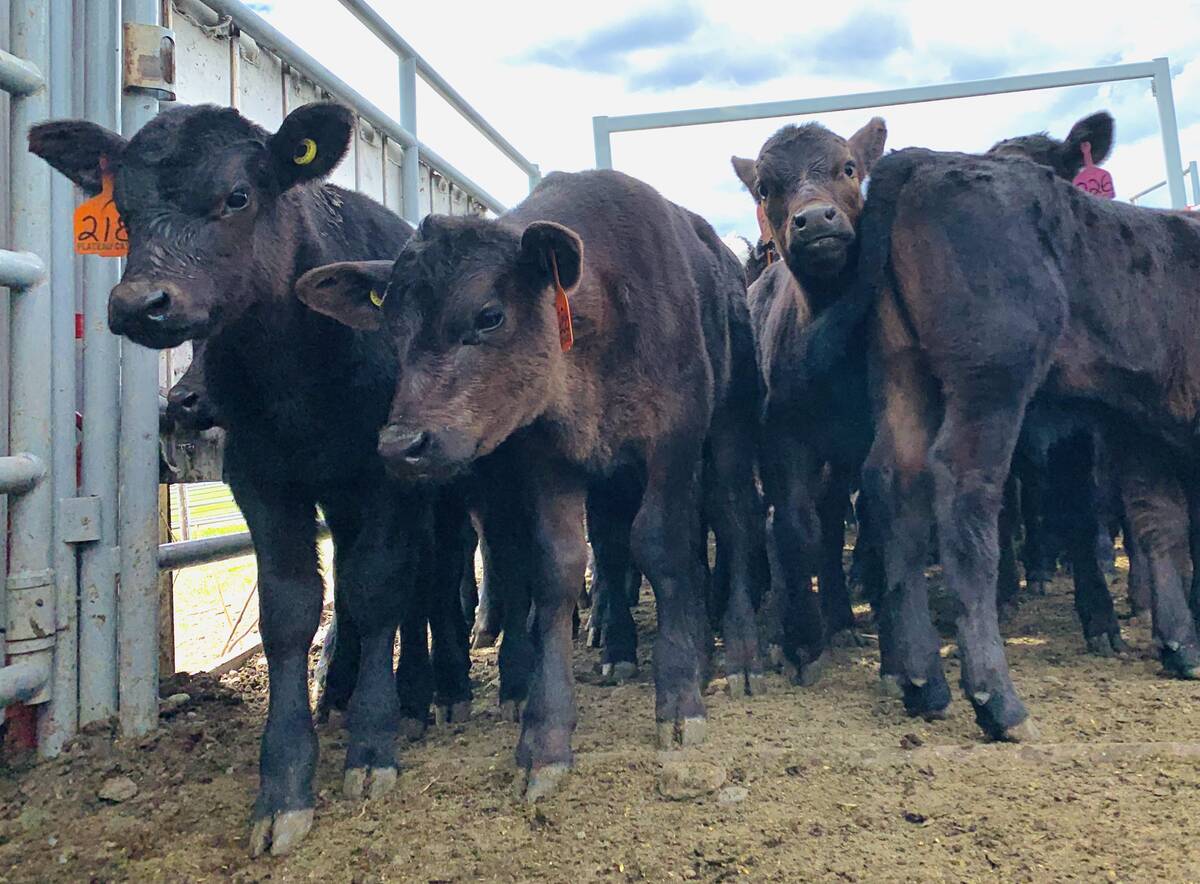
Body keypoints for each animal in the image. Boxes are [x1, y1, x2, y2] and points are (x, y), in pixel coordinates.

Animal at [30, 102, 471, 856]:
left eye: (237, 195)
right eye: (124, 208)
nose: (139, 303)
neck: (295, 372)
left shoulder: (385, 474)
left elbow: (379, 588)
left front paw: (373, 745)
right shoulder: (261, 479)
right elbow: (291, 608)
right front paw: (285, 781)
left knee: (426, 580)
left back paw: (421, 693)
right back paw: (340, 691)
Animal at [296, 168, 768, 799]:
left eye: (489, 315)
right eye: (392, 328)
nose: (400, 445)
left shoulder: (674, 438)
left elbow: (662, 548)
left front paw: (679, 699)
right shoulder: (550, 457)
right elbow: (555, 570)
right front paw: (545, 736)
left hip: (730, 431)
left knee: (734, 518)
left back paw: (739, 653)